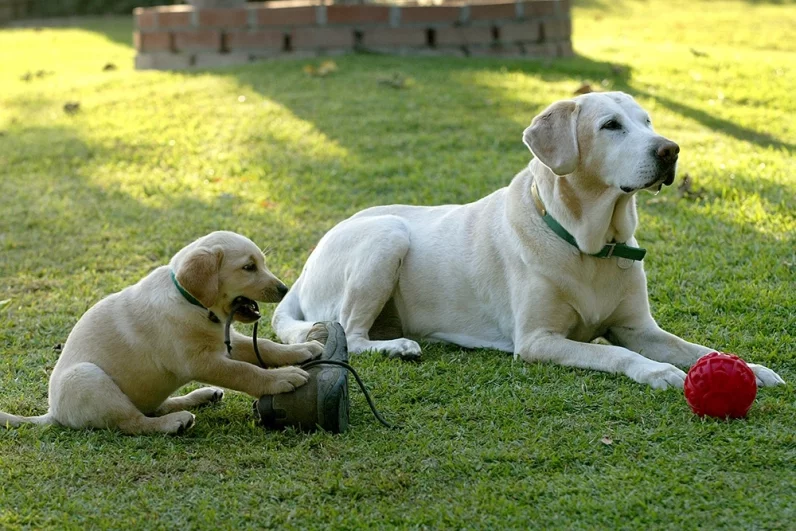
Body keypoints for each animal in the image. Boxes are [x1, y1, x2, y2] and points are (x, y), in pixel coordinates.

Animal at [1, 231, 324, 434]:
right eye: (248, 267)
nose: (284, 288)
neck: (192, 303)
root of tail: (54, 413)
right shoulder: (200, 362)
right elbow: (244, 372)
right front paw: (281, 378)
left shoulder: (225, 342)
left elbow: (266, 347)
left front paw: (300, 350)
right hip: (87, 378)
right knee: (134, 422)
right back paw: (174, 422)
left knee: (153, 408)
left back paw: (200, 396)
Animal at [274, 91, 784, 390]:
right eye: (611, 125)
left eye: (647, 121)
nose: (671, 150)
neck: (590, 243)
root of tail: (305, 266)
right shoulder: (538, 340)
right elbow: (615, 352)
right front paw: (657, 371)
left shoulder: (640, 328)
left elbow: (696, 349)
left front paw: (750, 369)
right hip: (386, 235)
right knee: (350, 333)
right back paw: (398, 347)